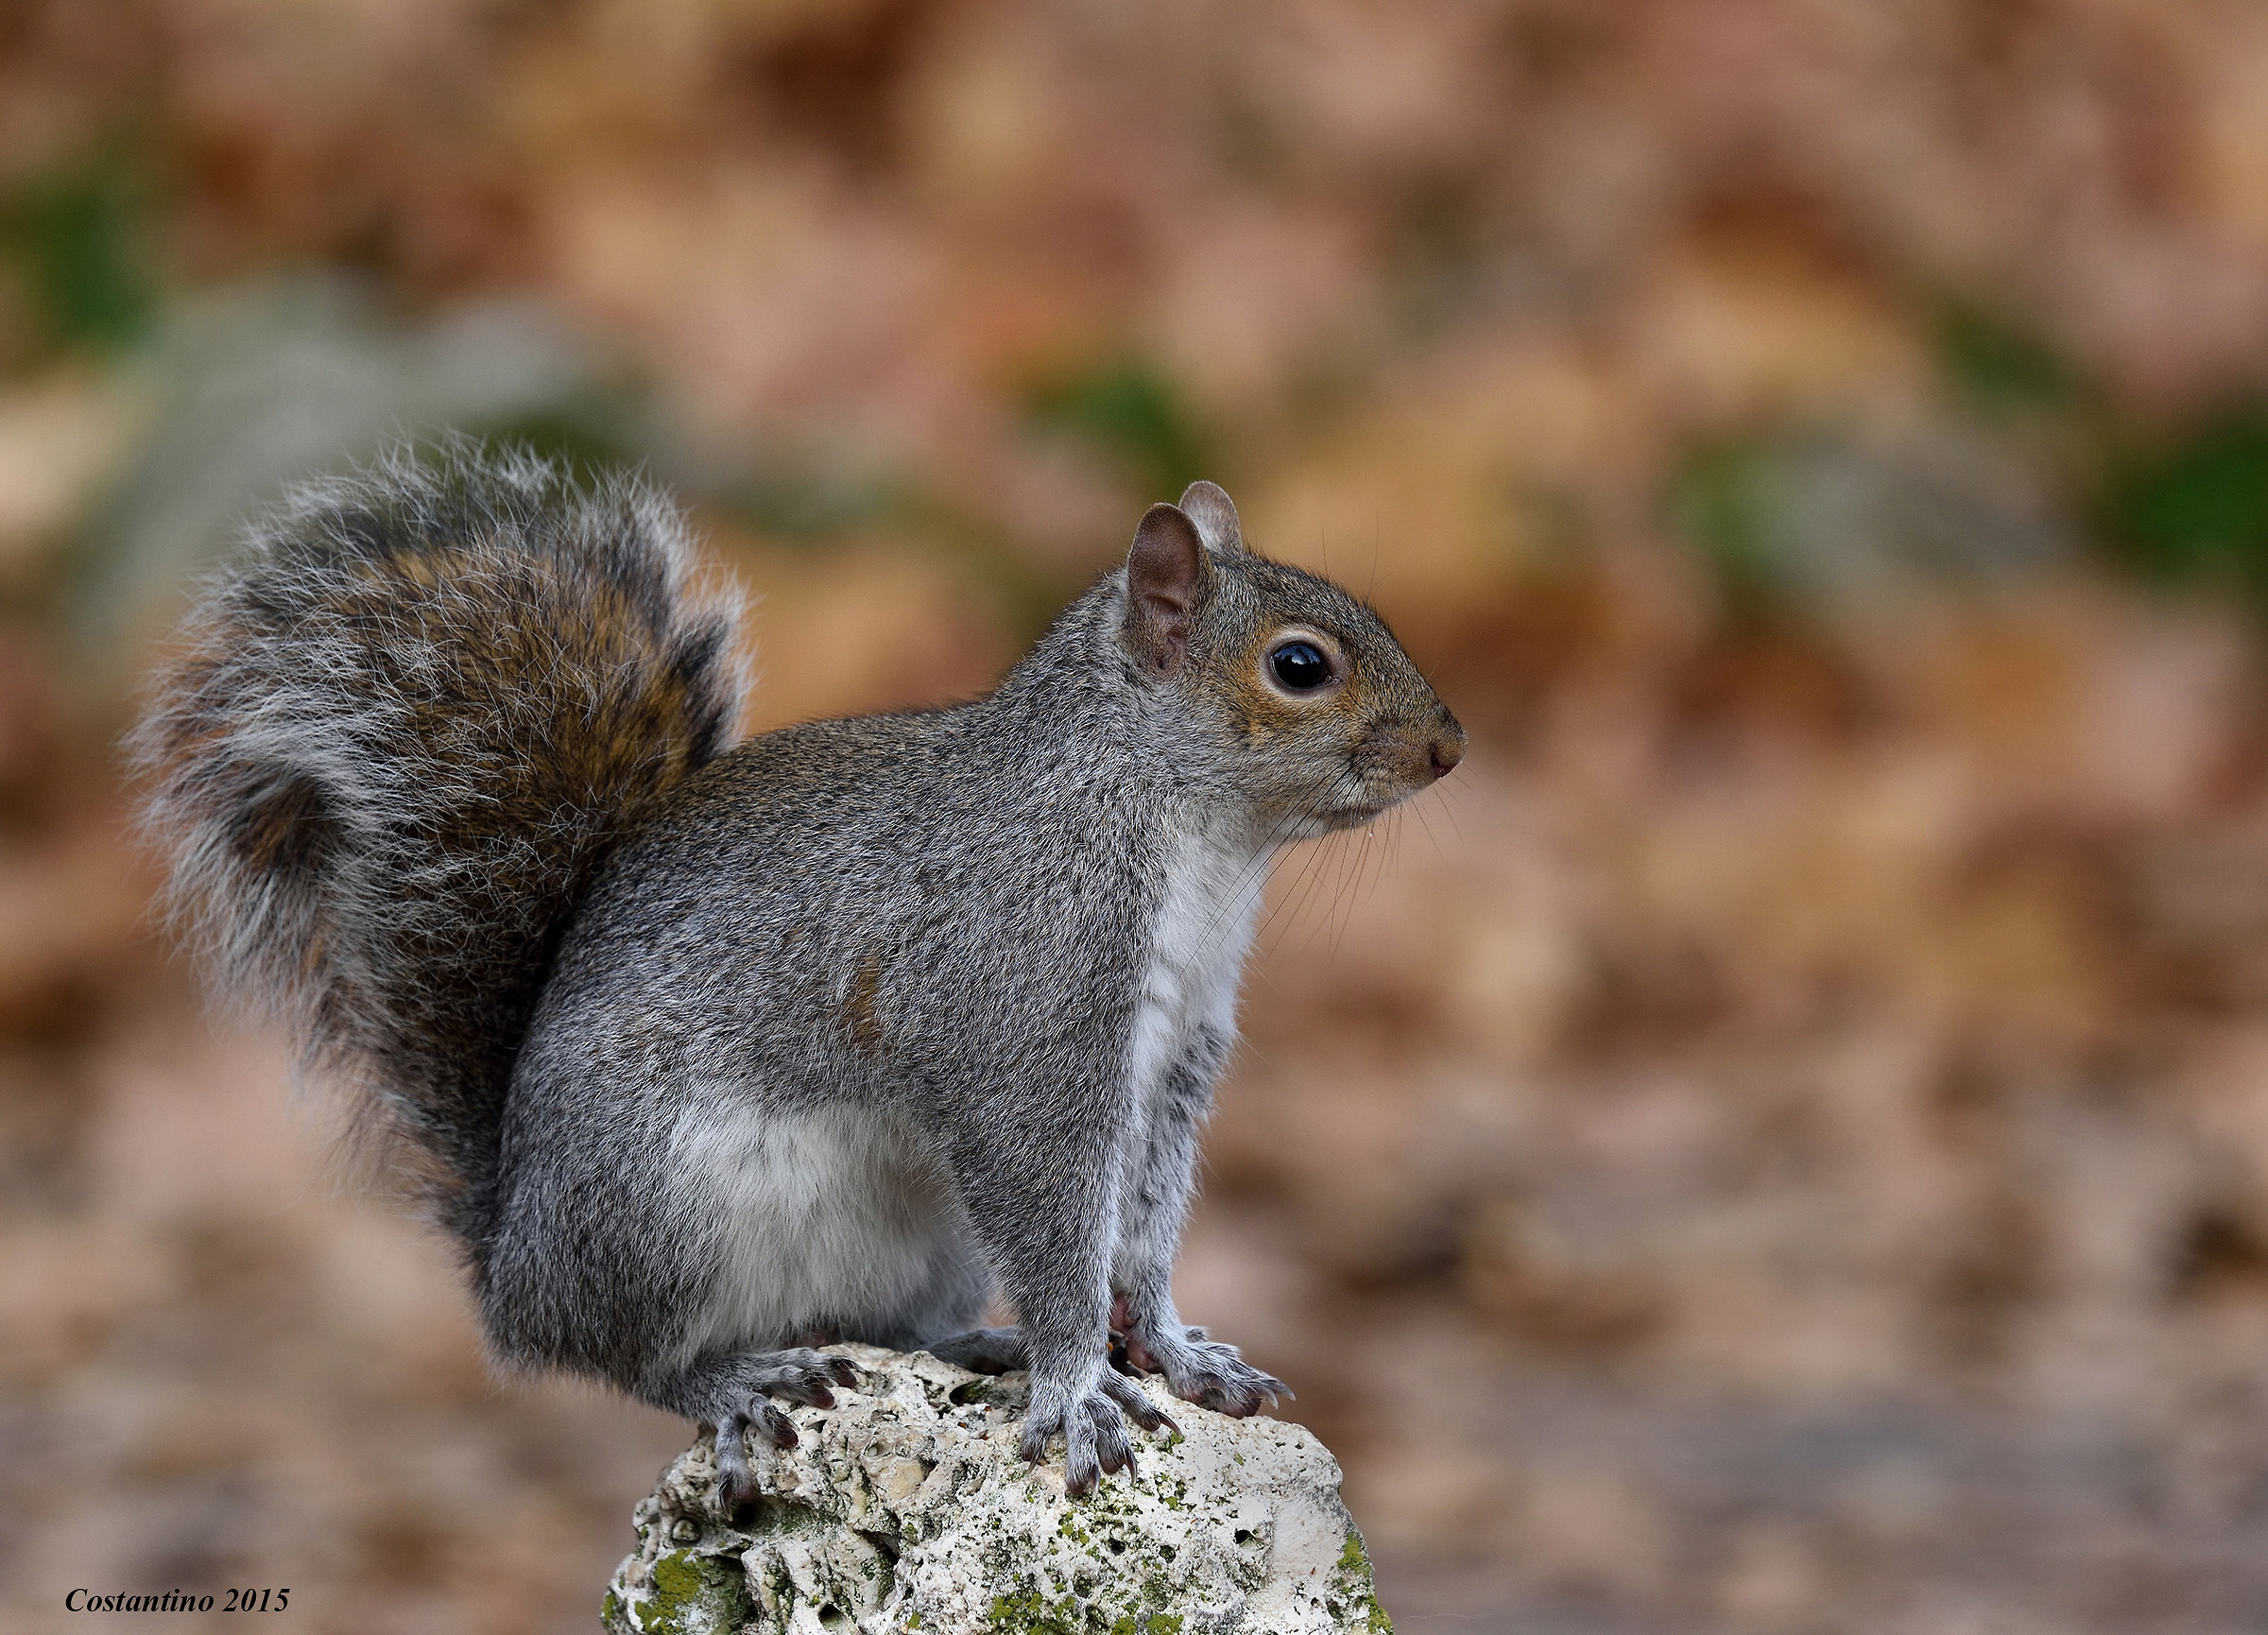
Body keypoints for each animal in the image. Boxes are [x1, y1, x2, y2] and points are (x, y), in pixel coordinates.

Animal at [133, 445, 1465, 1502]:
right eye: (1301, 666)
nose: (1450, 746)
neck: (1184, 836)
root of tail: (509, 1251)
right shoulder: (1027, 1010)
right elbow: (1060, 1220)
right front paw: (1076, 1382)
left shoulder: (1178, 1049)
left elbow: (1142, 1224)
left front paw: (1177, 1350)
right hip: (659, 1206)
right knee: (615, 1355)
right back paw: (733, 1378)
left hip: (918, 1231)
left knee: (881, 1320)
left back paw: (968, 1346)